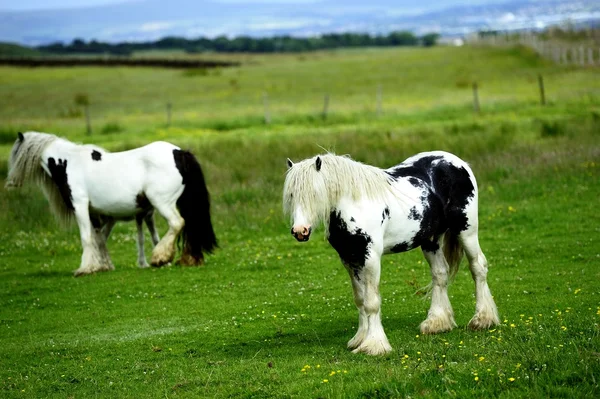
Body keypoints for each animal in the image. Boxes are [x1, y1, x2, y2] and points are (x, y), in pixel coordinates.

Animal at [5, 133, 218, 276]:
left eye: (15, 154)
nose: (10, 182)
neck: (67, 162)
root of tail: (180, 152)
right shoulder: (95, 213)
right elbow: (99, 238)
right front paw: (102, 265)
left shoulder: (80, 206)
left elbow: (87, 238)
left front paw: (85, 268)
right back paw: (188, 259)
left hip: (162, 202)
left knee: (177, 223)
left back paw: (160, 257)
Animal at [284, 152, 500, 356]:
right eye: (292, 195)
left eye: (315, 193)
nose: (300, 231)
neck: (354, 205)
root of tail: (458, 162)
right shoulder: (349, 259)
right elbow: (360, 300)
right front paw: (359, 339)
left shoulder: (370, 257)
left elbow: (371, 302)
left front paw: (373, 345)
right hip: (430, 240)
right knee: (440, 274)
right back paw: (437, 323)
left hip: (466, 230)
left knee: (478, 267)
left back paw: (482, 320)